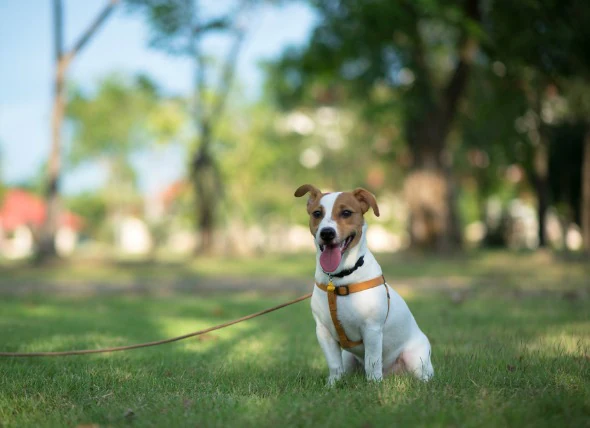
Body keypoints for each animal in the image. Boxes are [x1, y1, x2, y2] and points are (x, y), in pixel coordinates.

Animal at [296, 184, 434, 384]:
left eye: (346, 212)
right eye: (317, 213)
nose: (327, 233)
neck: (339, 279)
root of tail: (392, 373)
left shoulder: (372, 330)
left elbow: (372, 361)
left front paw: (374, 385)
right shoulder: (324, 332)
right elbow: (334, 365)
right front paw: (333, 385)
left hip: (415, 359)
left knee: (423, 375)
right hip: (348, 357)